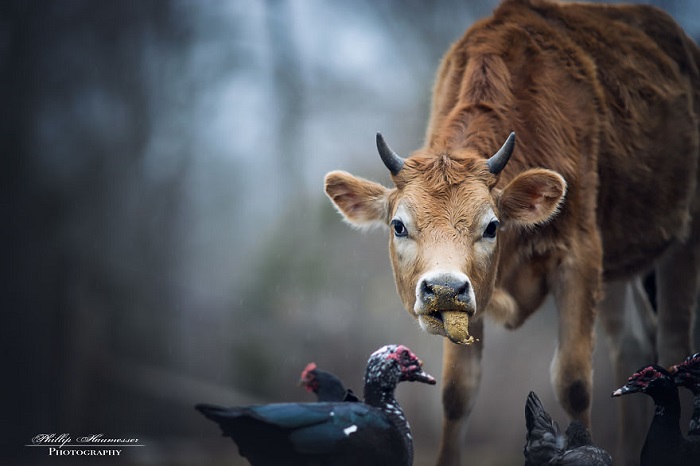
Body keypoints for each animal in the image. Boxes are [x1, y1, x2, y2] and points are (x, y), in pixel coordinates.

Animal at [326, 0, 700, 466]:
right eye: (398, 225)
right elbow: (457, 392)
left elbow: (574, 383)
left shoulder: (580, 256)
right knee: (633, 342)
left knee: (672, 339)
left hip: (684, 236)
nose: (444, 288)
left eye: (491, 226)